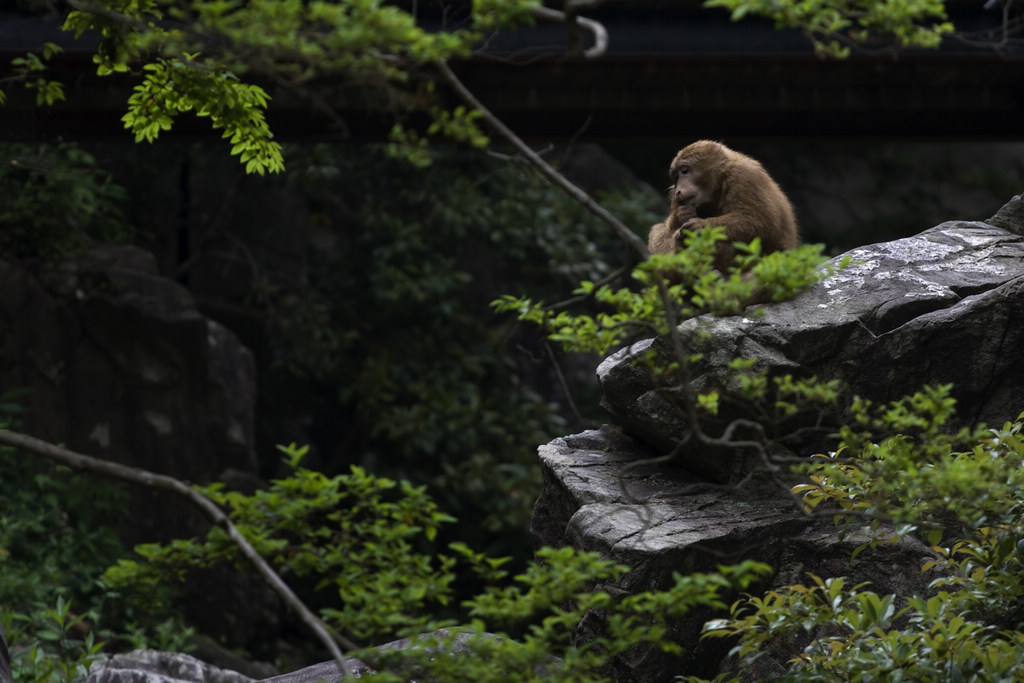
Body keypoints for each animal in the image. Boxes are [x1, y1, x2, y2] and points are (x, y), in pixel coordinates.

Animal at [647, 140, 798, 274]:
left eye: (684, 171)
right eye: (676, 177)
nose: (678, 190)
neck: (719, 184)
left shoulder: (744, 176)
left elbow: (763, 224)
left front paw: (699, 226)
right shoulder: (675, 198)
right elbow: (663, 233)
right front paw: (681, 216)